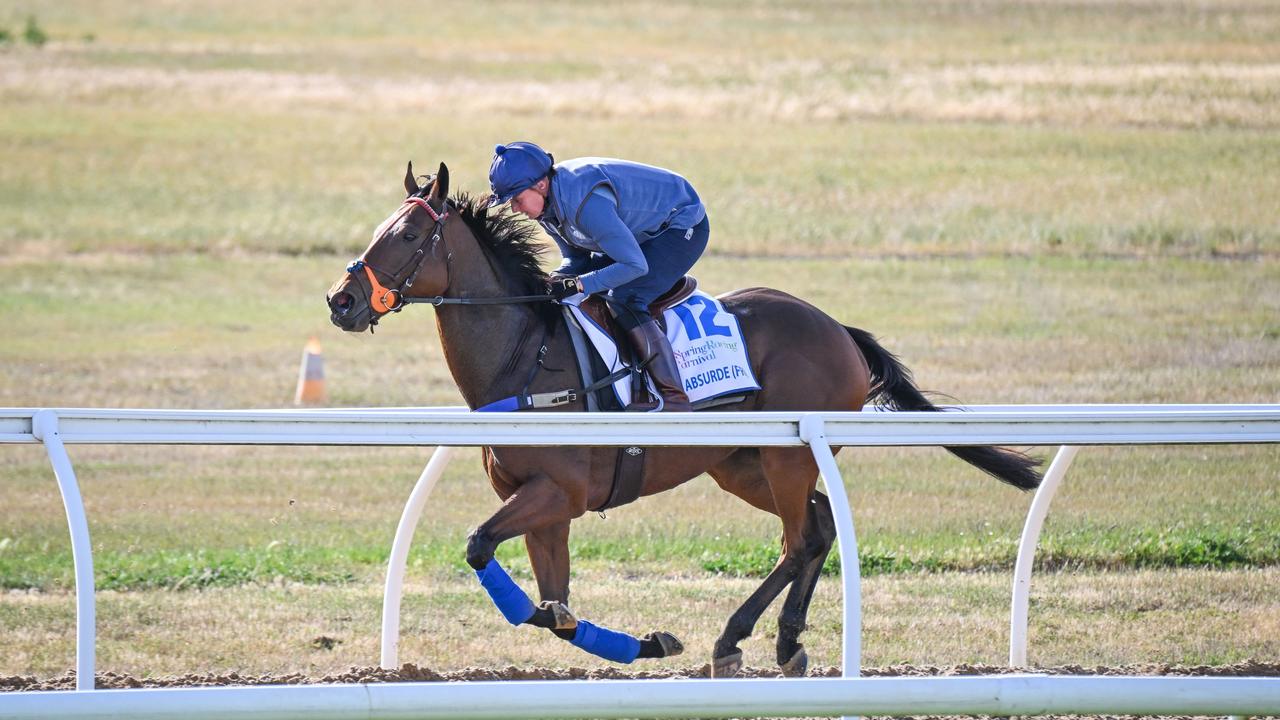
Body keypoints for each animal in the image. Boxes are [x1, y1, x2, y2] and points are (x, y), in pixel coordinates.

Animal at [322, 161, 1039, 671]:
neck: (527, 359)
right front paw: (647, 643)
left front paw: (653, 642)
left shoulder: (560, 491)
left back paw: (737, 639)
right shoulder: (541, 502)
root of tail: (837, 328)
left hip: (786, 454)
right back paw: (782, 642)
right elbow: (553, 610)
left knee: (800, 539)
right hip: (741, 466)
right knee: (820, 527)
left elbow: (481, 549)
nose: (341, 300)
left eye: (407, 235)